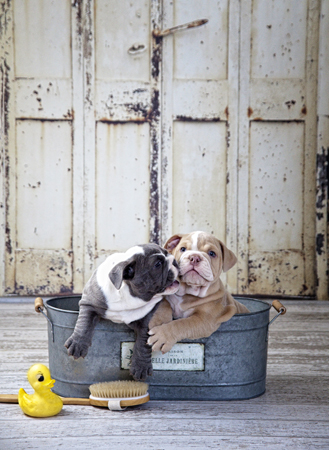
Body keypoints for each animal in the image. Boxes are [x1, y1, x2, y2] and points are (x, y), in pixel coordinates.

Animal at [63, 244, 177, 382]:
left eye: (167, 253)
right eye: (158, 264)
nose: (174, 260)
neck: (126, 291)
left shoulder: (148, 320)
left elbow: (143, 342)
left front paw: (141, 366)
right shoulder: (89, 302)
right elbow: (84, 322)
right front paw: (77, 344)